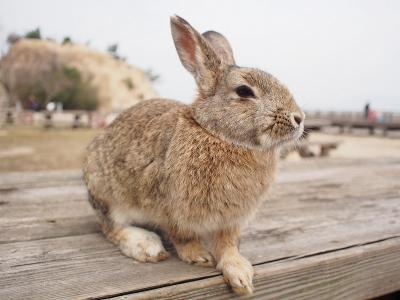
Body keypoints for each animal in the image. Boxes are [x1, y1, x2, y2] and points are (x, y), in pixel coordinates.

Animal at [83, 15, 304, 296]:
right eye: (244, 91)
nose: (299, 118)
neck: (218, 135)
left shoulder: (230, 221)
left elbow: (228, 245)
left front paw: (240, 275)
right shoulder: (170, 209)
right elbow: (183, 237)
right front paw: (198, 256)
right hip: (106, 193)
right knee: (111, 227)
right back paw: (147, 246)